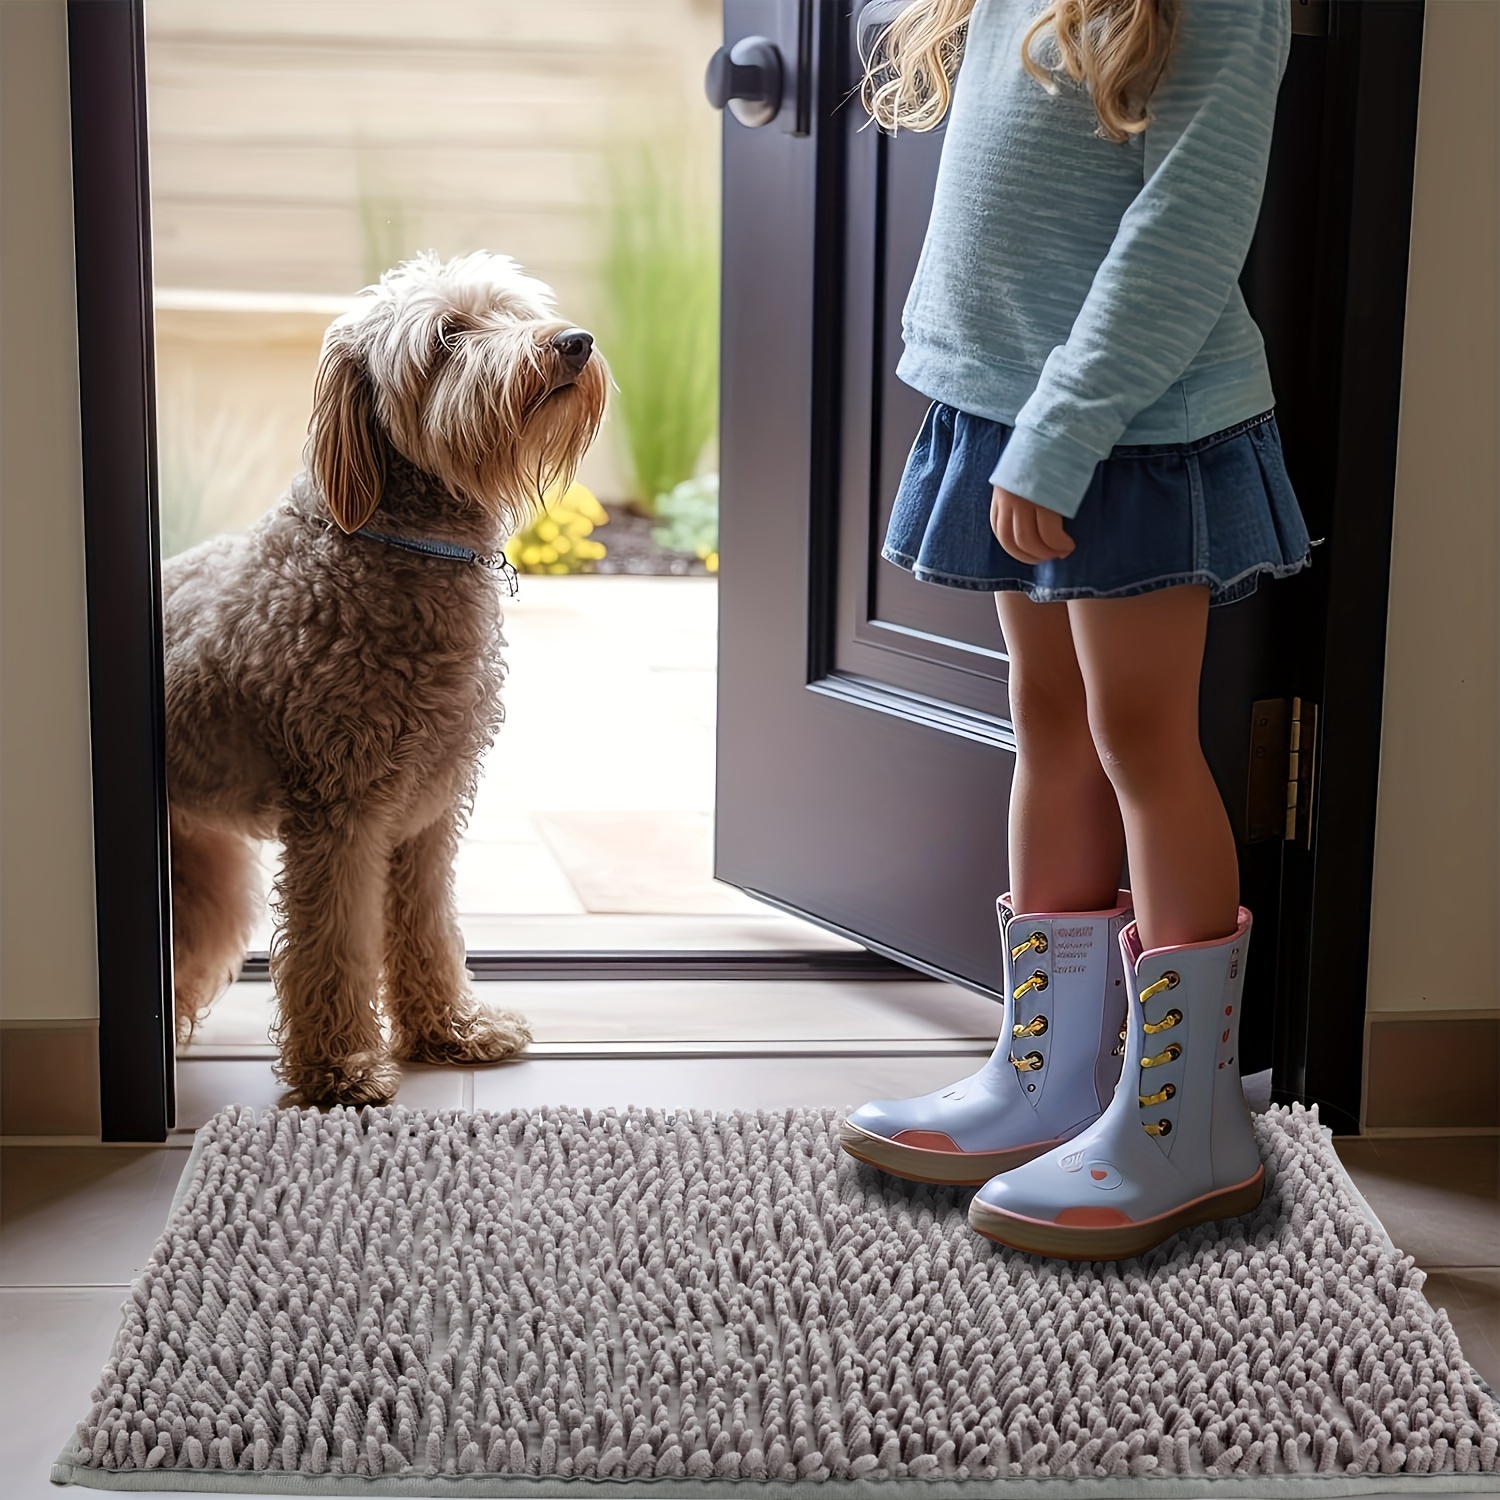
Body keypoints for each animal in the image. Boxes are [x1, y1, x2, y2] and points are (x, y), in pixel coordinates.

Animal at [165, 252, 609, 1110]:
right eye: (448, 337)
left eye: (512, 311)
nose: (573, 341)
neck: (397, 545)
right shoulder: (336, 816)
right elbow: (333, 946)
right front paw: (339, 1068)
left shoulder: (427, 814)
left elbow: (429, 926)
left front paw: (451, 1029)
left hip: (204, 870)